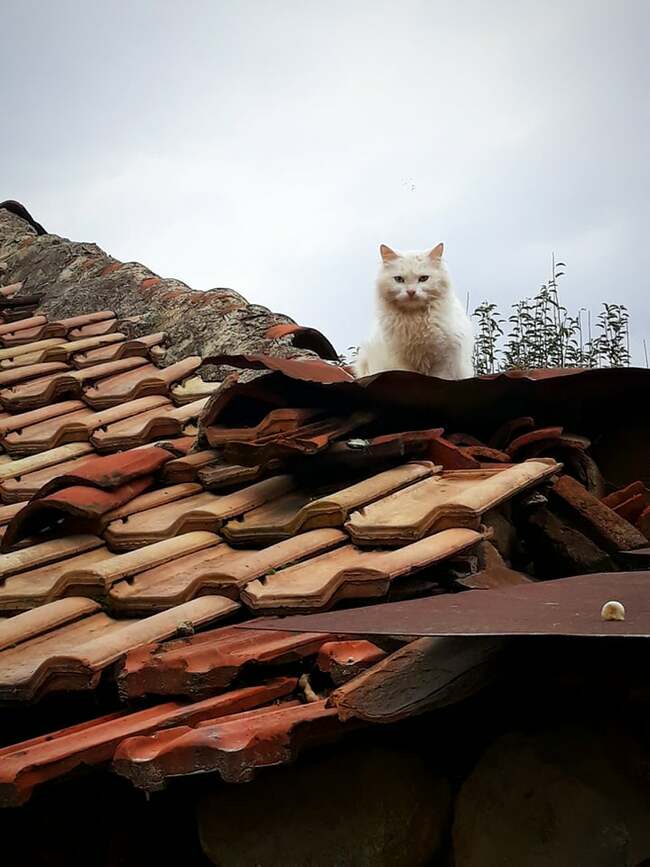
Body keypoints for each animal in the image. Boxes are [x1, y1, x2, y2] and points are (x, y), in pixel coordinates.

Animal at [354, 244, 470, 380]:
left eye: (423, 278)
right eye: (399, 279)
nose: (411, 292)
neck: (415, 320)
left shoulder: (444, 361)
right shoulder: (401, 362)